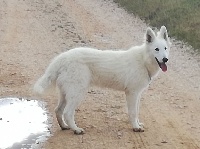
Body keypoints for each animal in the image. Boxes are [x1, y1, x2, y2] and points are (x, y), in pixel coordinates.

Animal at [34, 26, 170, 134]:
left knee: (58, 110)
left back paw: (64, 127)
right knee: (67, 112)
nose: (165, 59)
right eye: (156, 49)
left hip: (66, 93)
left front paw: (138, 124)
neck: (143, 60)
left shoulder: (137, 94)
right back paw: (76, 130)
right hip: (77, 92)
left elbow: (136, 111)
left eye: (165, 48)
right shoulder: (132, 93)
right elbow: (133, 112)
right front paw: (136, 127)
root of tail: (62, 58)